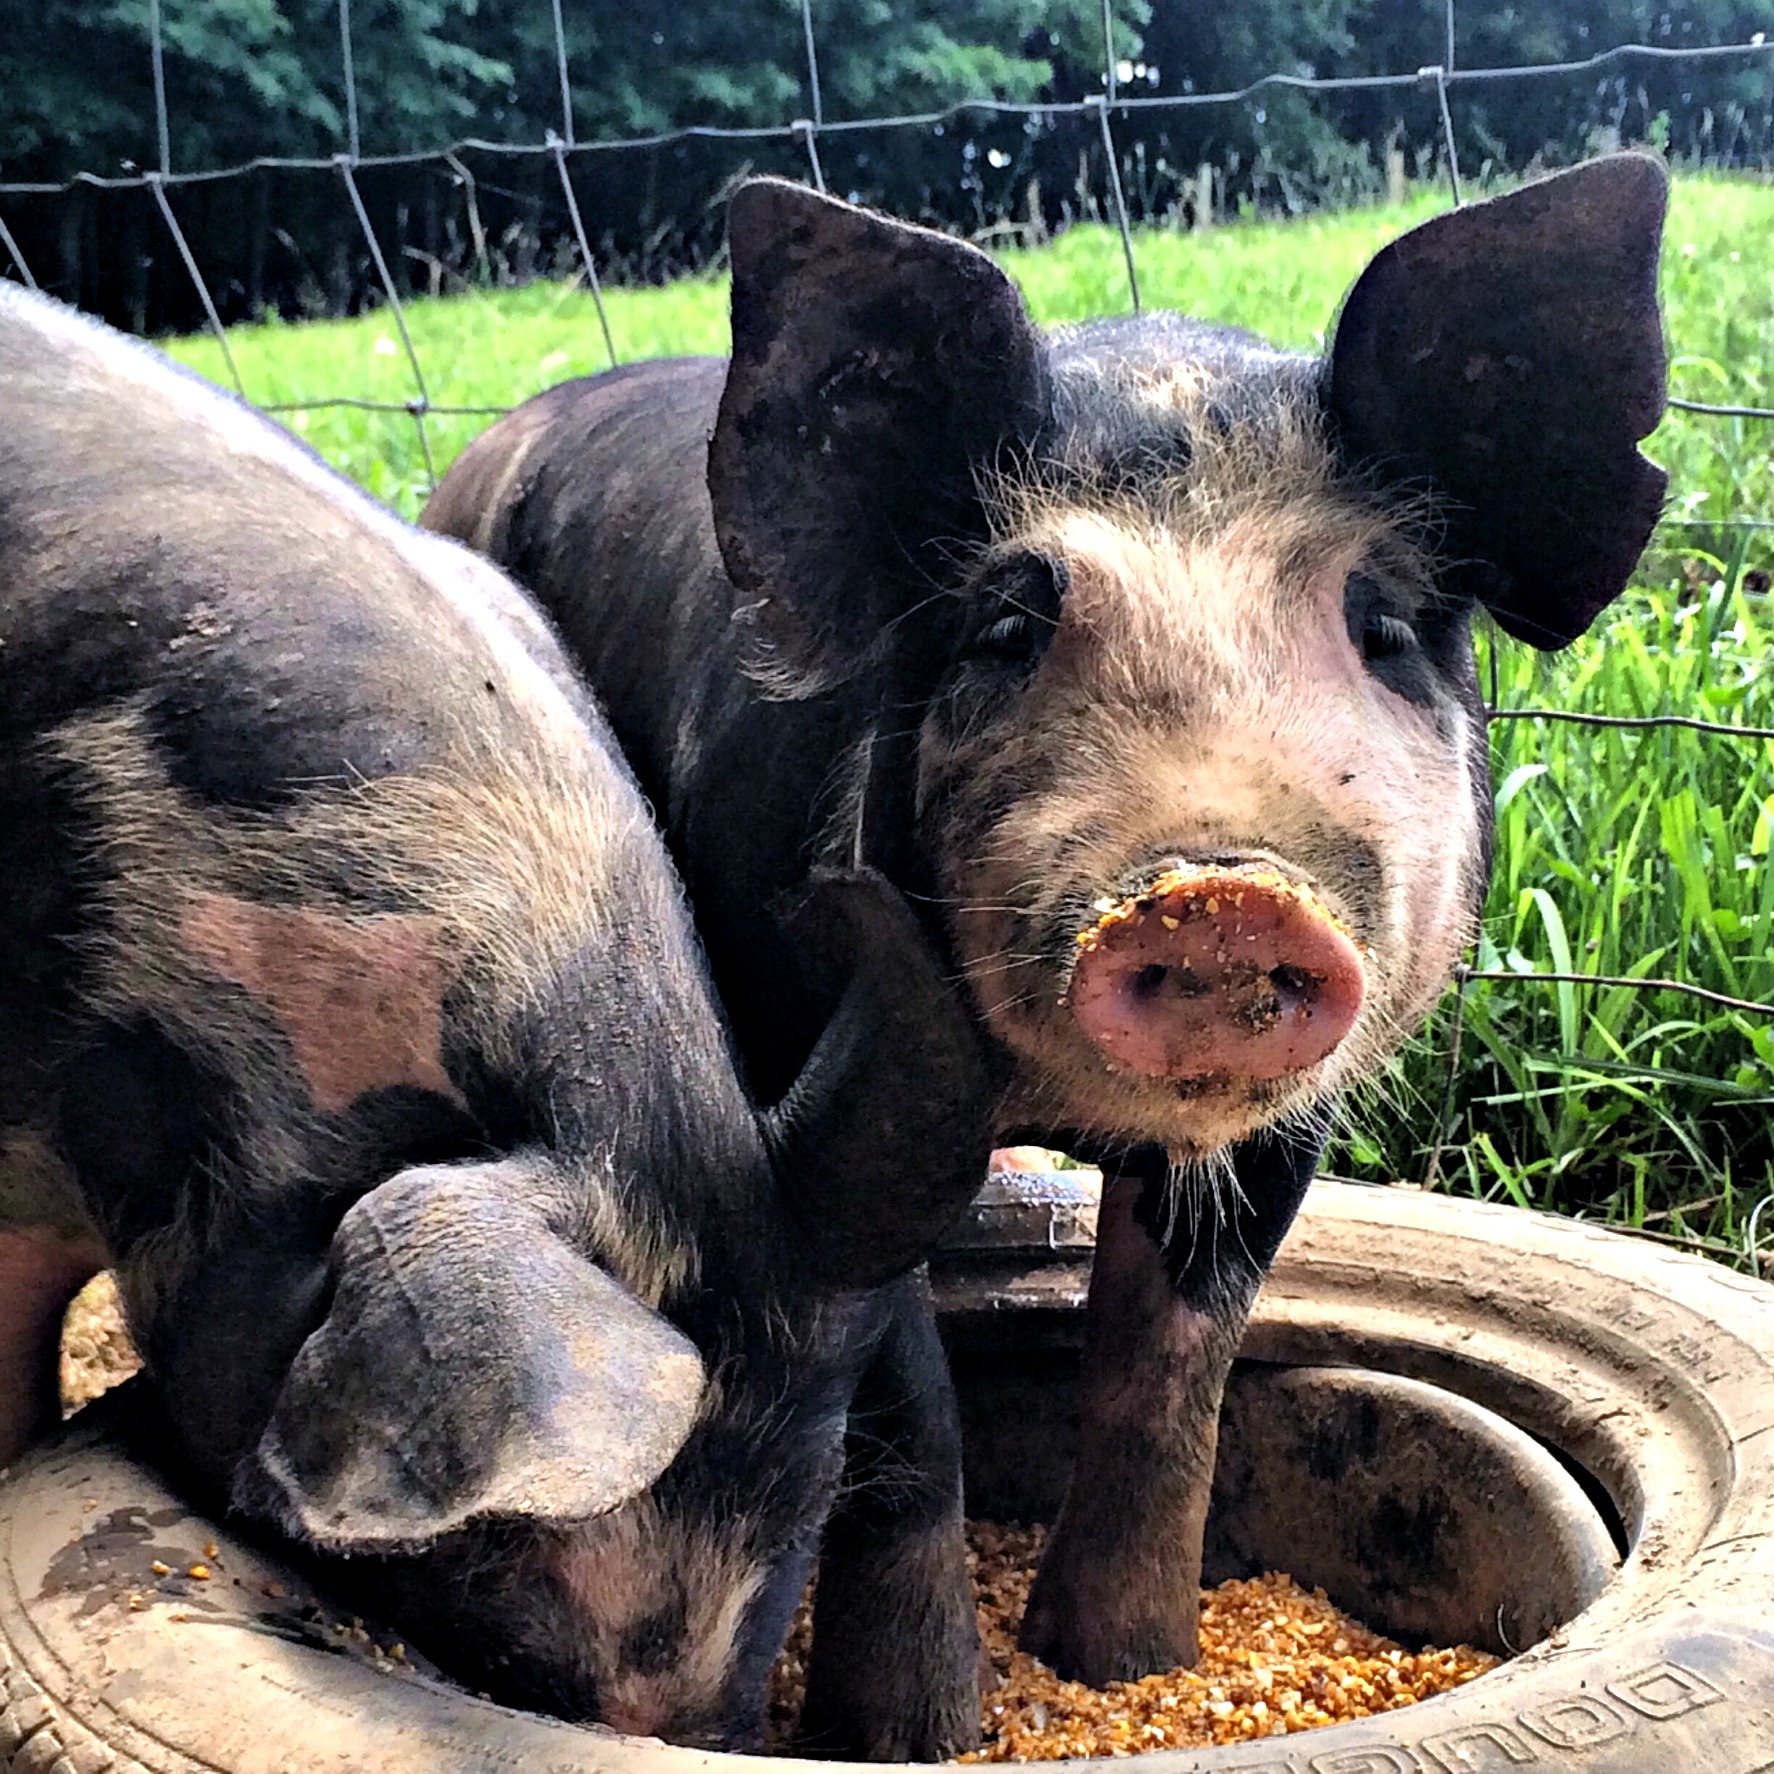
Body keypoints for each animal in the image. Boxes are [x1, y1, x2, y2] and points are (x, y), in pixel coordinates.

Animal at [423, 152, 1669, 1725]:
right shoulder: (816, 1091)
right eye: (1009, 628)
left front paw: (1128, 1666)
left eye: (1382, 623)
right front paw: (909, 1736)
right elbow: (908, 1403)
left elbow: (1169, 1369)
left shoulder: (1281, 1132)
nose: (1221, 890)